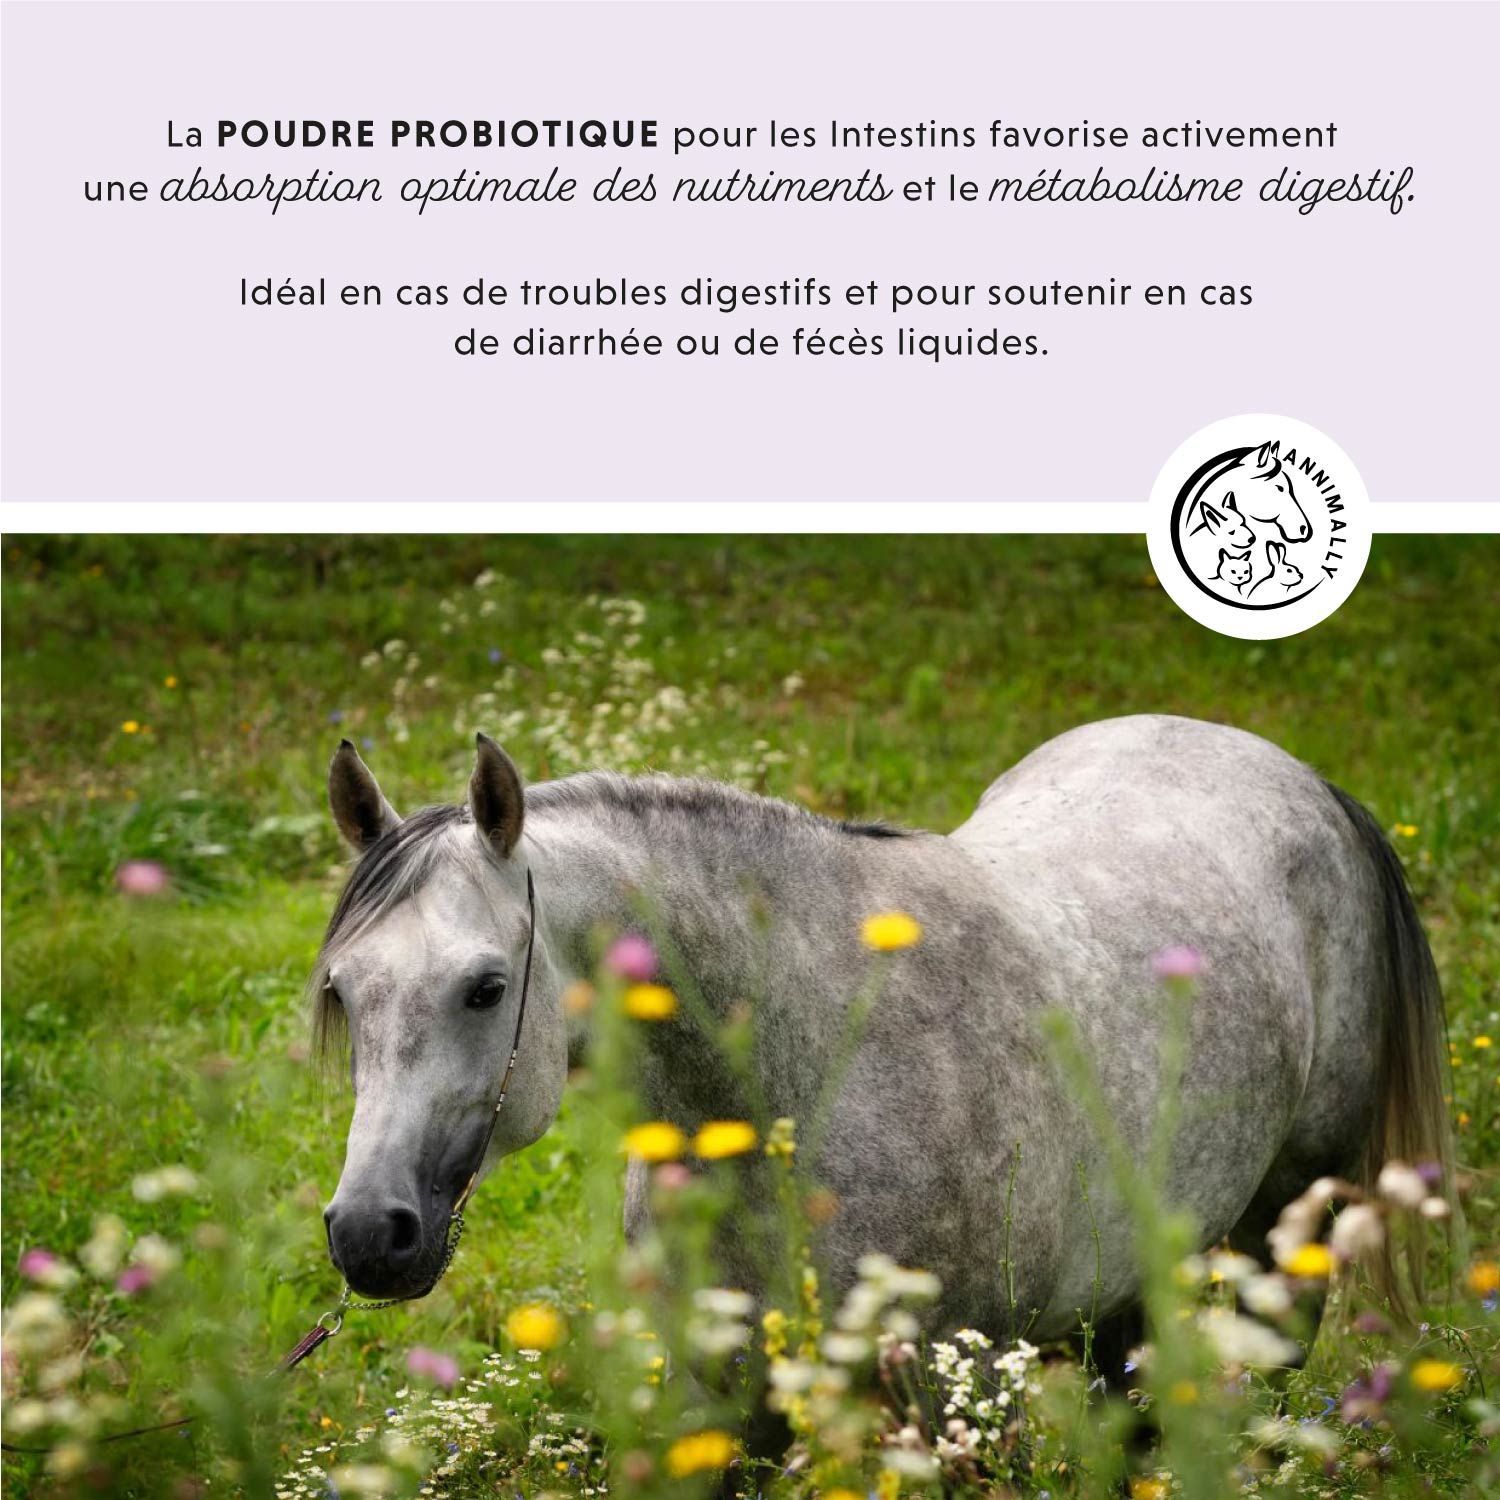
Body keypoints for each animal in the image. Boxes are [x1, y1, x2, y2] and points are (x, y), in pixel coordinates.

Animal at [311, 716, 1448, 1369]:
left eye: (485, 988)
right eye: (343, 991)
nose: (369, 1233)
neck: (805, 1072)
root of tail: (1307, 782)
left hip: (1284, 1236)